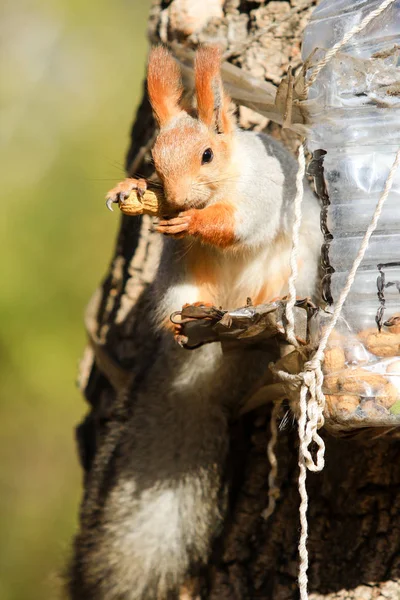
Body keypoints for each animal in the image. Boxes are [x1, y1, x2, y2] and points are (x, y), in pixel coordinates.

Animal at [69, 47, 322, 600]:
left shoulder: (263, 194)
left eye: (207, 154)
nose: (180, 200)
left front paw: (196, 221)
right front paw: (130, 189)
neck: (226, 177)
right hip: (181, 277)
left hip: (291, 269)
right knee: (182, 308)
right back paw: (186, 324)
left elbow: (237, 223)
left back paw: (263, 315)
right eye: (154, 158)